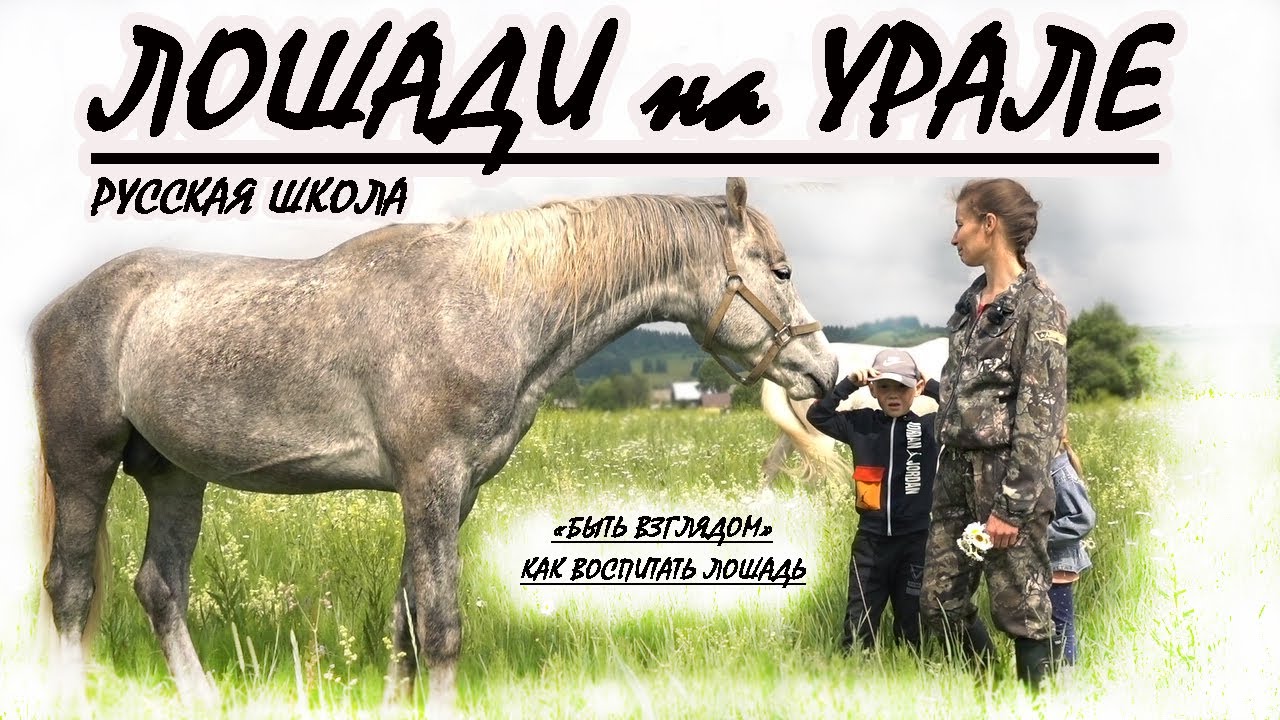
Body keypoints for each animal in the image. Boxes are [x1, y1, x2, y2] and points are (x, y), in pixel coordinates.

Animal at [30, 177, 839, 713]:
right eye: (780, 269)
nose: (823, 372)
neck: (487, 304)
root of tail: (60, 307)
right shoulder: (431, 481)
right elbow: (442, 626)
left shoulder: (455, 491)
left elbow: (406, 622)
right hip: (83, 464)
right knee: (71, 586)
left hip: (174, 475)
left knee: (159, 587)